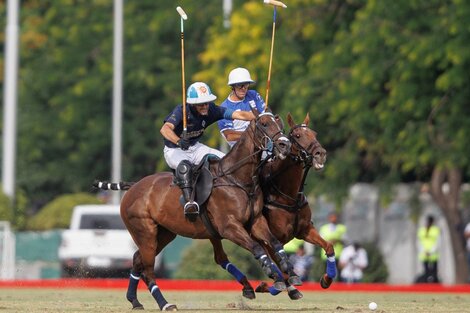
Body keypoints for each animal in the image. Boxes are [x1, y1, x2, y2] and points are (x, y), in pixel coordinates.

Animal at [95, 110, 304, 310]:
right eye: (264, 124)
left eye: (280, 124)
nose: (284, 145)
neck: (237, 179)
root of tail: (133, 186)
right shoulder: (229, 227)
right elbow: (257, 247)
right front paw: (273, 275)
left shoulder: (256, 221)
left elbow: (274, 243)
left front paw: (289, 273)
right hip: (144, 232)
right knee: (148, 269)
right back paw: (164, 304)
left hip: (164, 234)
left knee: (138, 259)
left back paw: (135, 300)